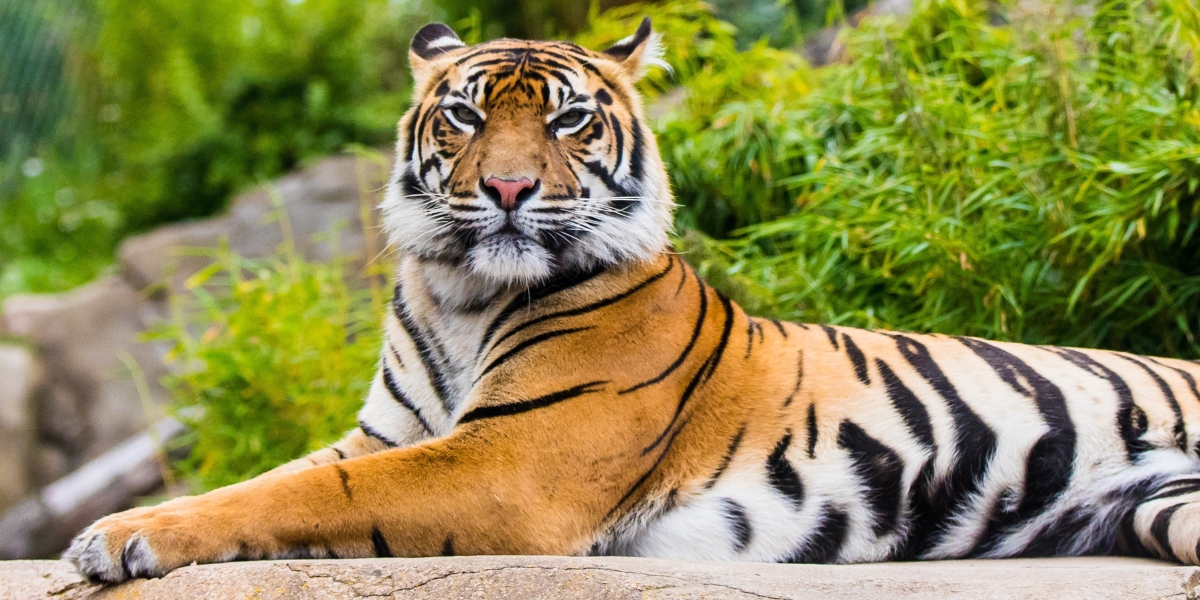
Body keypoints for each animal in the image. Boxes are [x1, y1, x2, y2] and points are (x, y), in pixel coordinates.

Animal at [67, 19, 1200, 582]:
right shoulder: (389, 430)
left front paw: (123, 539)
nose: (508, 190)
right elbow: (276, 477)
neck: (458, 290)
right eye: (465, 116)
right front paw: (127, 523)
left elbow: (315, 496)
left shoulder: (512, 460)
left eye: (568, 120)